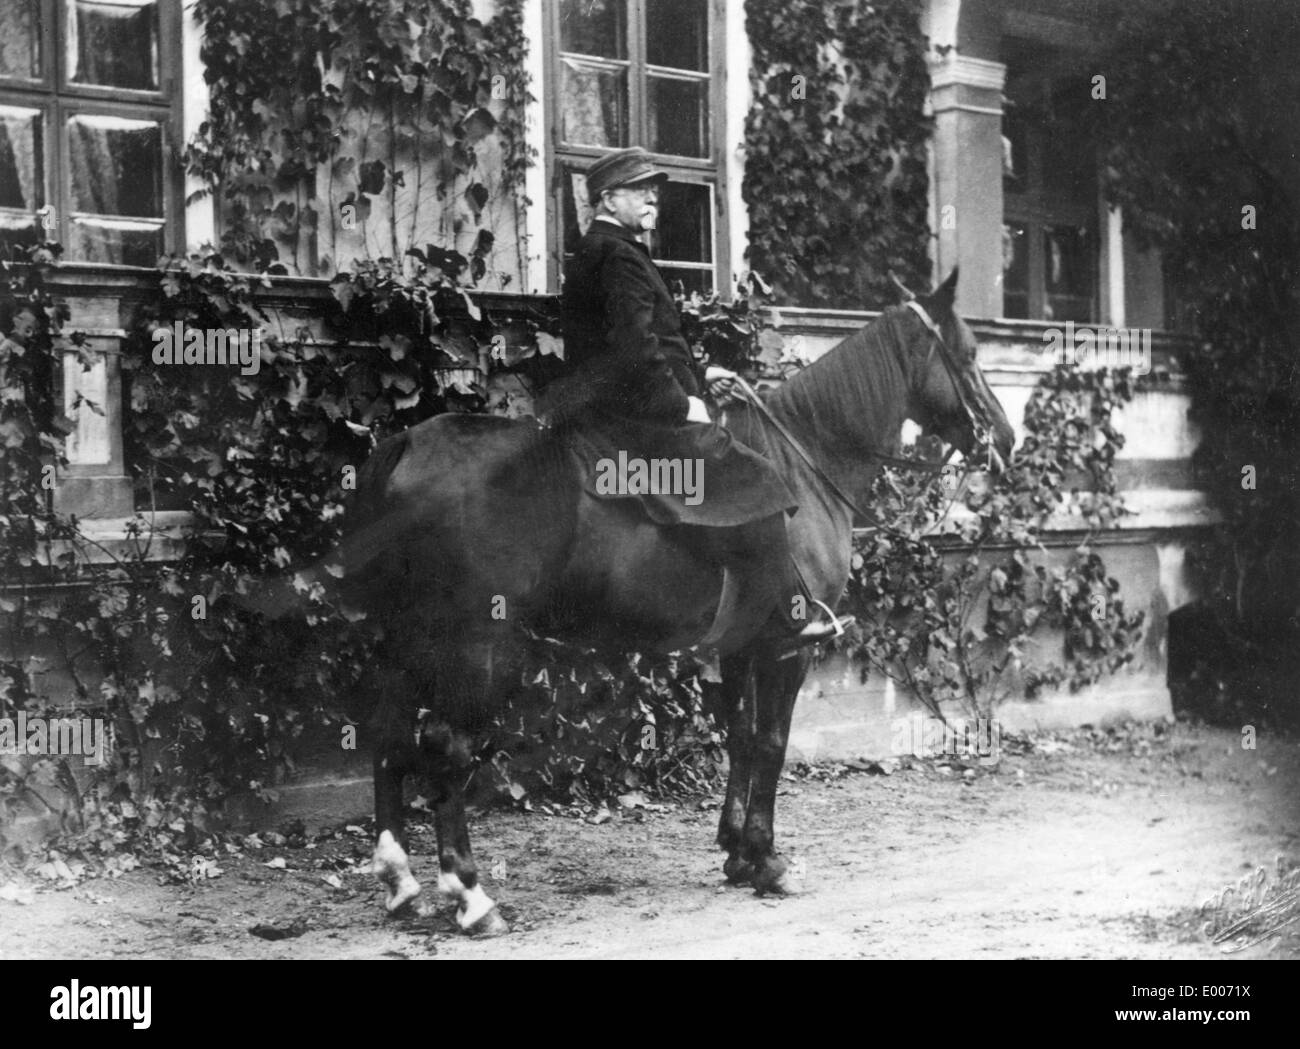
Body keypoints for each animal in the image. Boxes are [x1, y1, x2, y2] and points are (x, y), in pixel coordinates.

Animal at [340, 270, 1008, 935]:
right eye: (969, 354)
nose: (1003, 438)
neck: (803, 462)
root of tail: (405, 444)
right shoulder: (787, 649)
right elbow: (772, 743)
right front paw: (768, 861)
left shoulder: (741, 644)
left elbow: (740, 737)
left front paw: (737, 853)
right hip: (478, 646)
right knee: (446, 746)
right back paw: (472, 897)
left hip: (406, 637)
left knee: (388, 731)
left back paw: (399, 881)